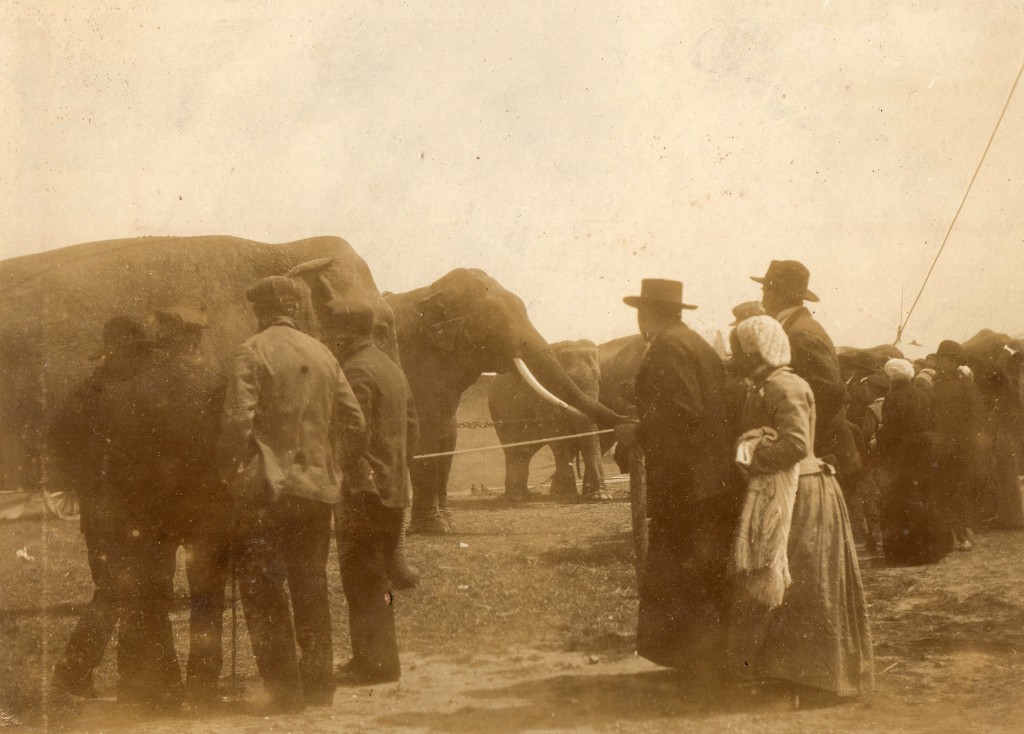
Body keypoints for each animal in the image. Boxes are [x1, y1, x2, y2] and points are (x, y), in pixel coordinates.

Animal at [485, 339, 606, 501]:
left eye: (598, 379)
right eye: (564, 382)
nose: (600, 494)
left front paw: (599, 495)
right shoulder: (539, 397)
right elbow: (555, 433)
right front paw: (567, 496)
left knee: (525, 451)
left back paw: (525, 495)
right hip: (501, 413)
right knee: (514, 448)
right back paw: (516, 497)